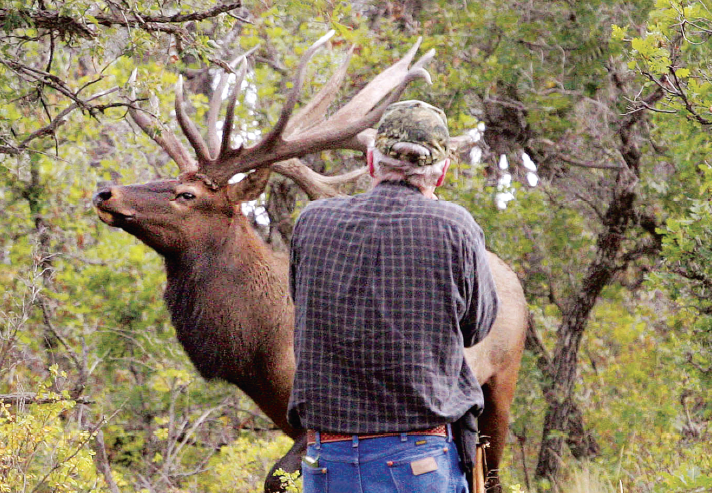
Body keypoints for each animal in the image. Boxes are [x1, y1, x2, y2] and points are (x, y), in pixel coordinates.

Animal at [93, 32, 528, 490]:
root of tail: (512, 277)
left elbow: (275, 476)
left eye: (187, 195)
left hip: (503, 381)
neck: (261, 345)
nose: (106, 192)